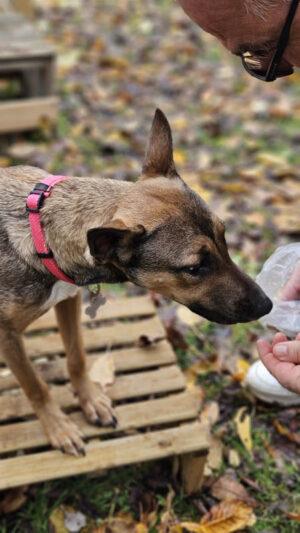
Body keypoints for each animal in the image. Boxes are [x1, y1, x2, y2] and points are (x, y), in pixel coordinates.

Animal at [0, 110, 272, 456]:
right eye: (195, 267)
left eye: (223, 237)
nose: (267, 305)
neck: (39, 231)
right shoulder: (7, 335)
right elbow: (35, 385)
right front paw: (58, 427)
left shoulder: (68, 299)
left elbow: (77, 357)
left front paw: (90, 399)